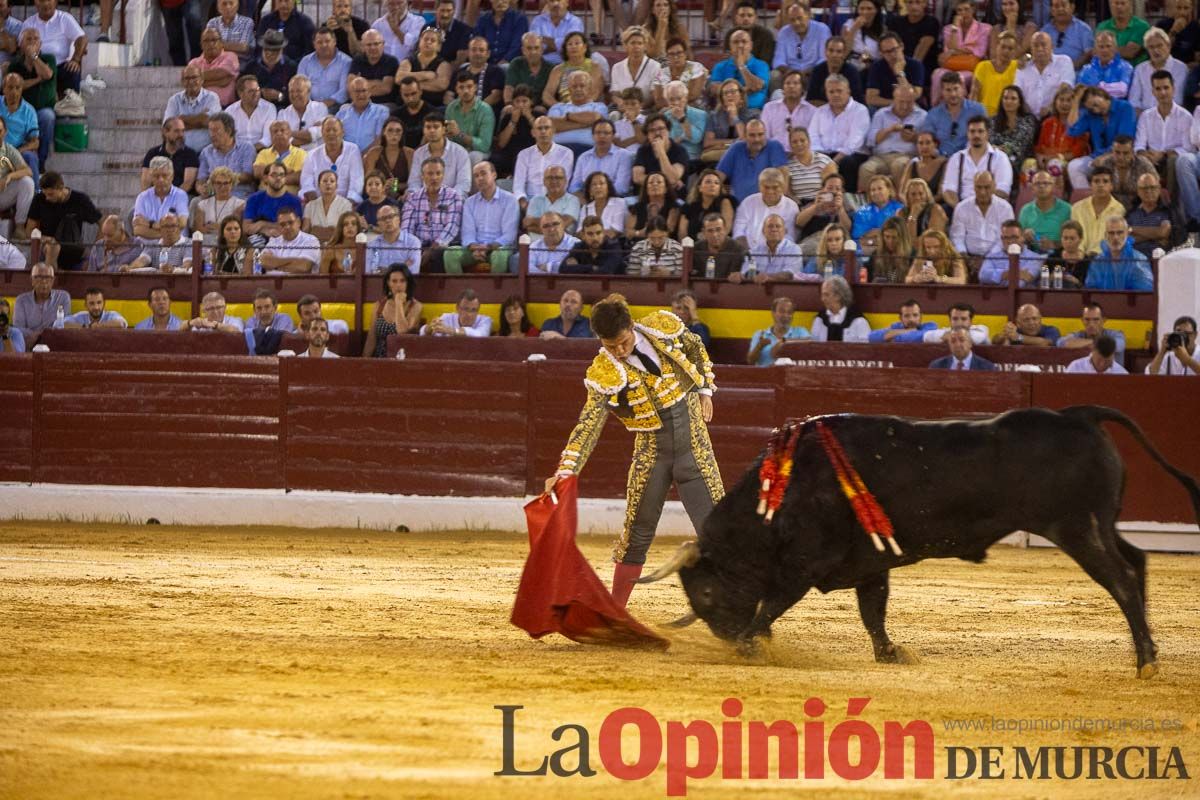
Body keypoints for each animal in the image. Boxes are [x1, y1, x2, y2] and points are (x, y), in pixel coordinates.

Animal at [643, 407, 1195, 676]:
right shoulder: (870, 563)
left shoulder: (803, 565)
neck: (783, 491)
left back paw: (1146, 661)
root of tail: (1078, 414)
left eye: (707, 591)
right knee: (1138, 562)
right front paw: (892, 655)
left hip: (1076, 529)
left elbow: (772, 605)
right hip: (1101, 523)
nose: (726, 638)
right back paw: (1149, 650)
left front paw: (753, 646)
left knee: (1121, 579)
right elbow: (873, 612)